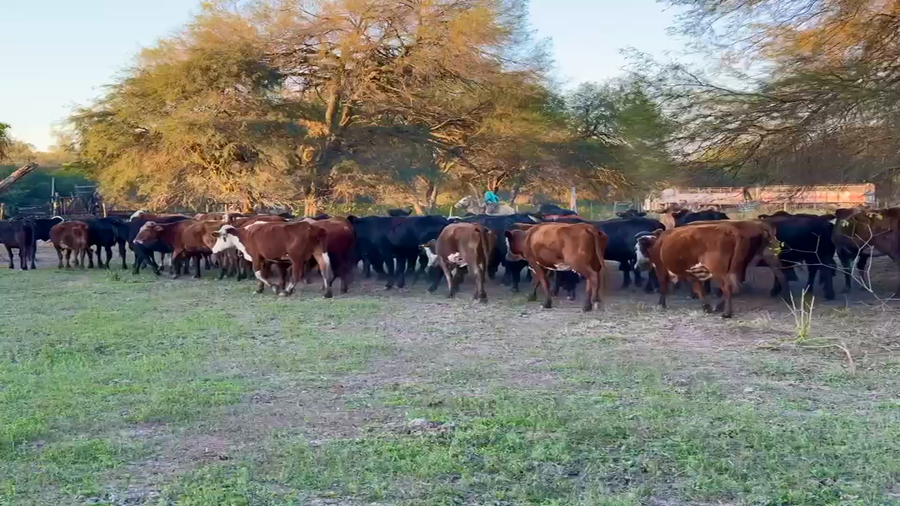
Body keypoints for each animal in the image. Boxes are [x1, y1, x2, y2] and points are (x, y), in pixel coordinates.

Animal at [635, 221, 781, 318]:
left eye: (638, 248)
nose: (638, 266)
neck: (658, 242)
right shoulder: (693, 272)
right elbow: (699, 289)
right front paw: (706, 307)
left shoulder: (661, 268)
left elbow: (664, 287)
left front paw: (661, 304)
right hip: (739, 266)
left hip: (719, 270)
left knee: (727, 288)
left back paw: (726, 313)